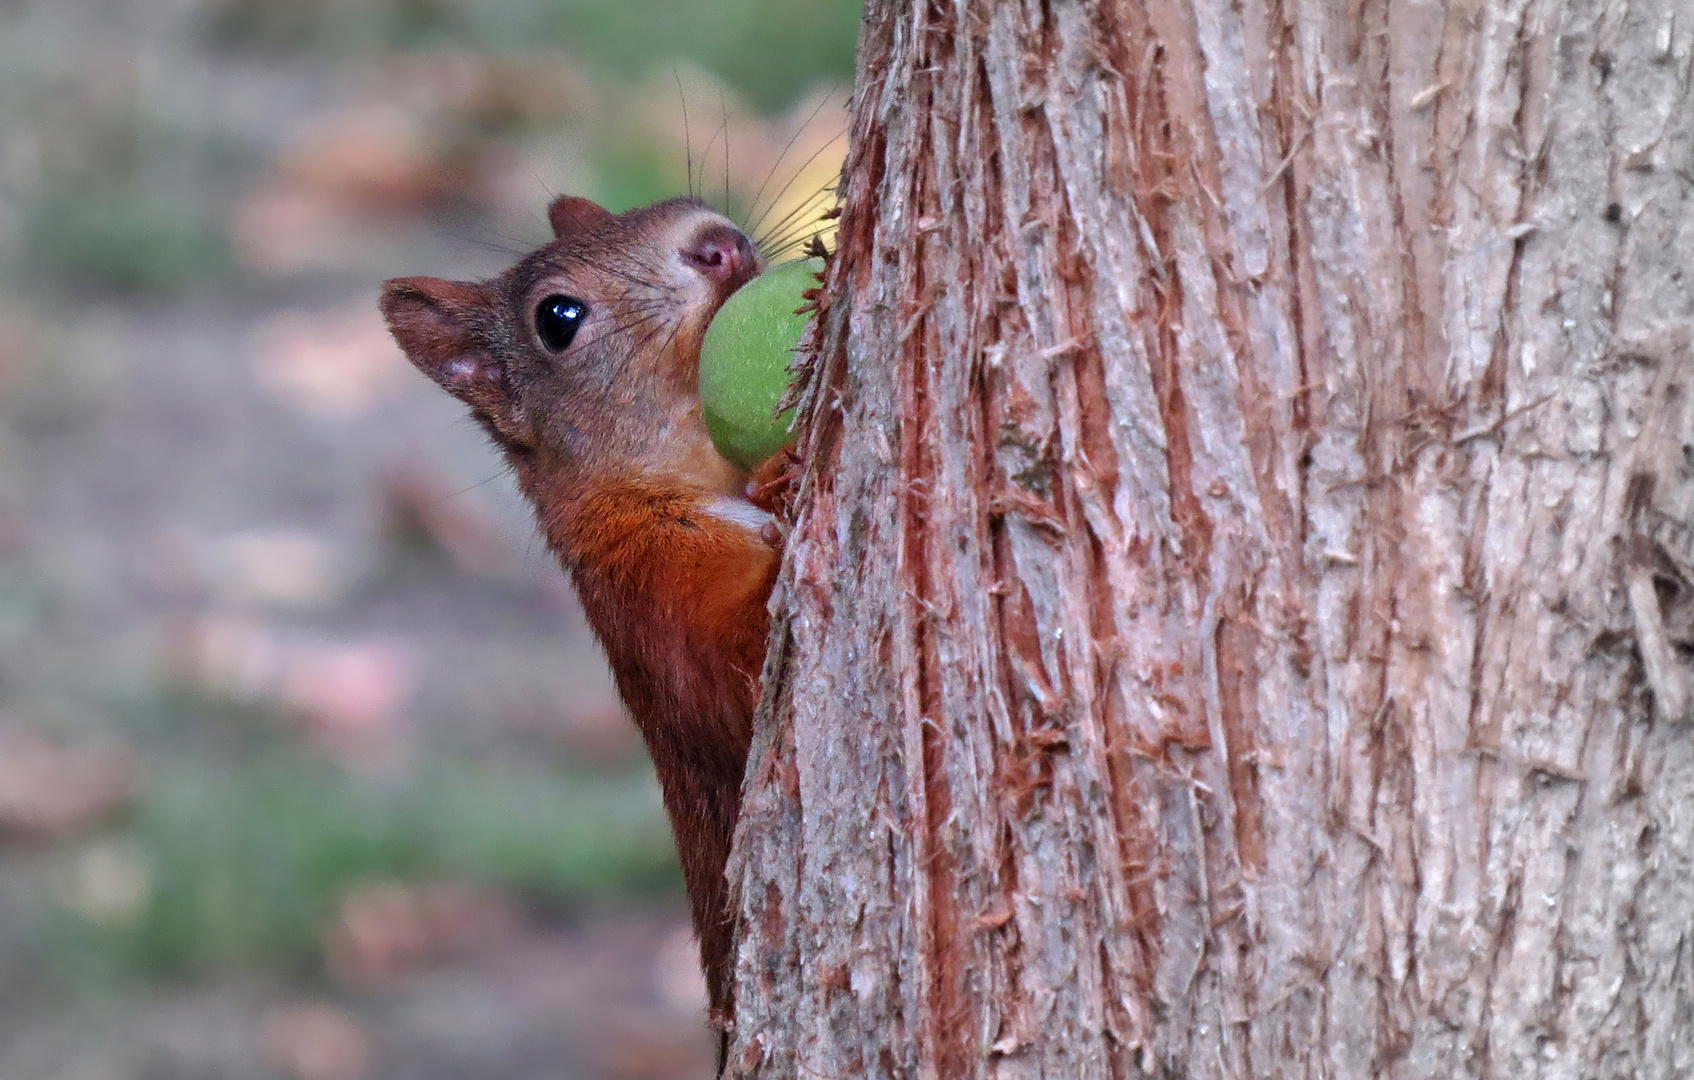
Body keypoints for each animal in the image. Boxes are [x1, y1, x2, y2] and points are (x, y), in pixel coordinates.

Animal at [377, 194, 786, 1049]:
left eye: (670, 206)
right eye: (557, 318)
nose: (717, 241)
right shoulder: (657, 601)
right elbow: (734, 670)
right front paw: (782, 474)